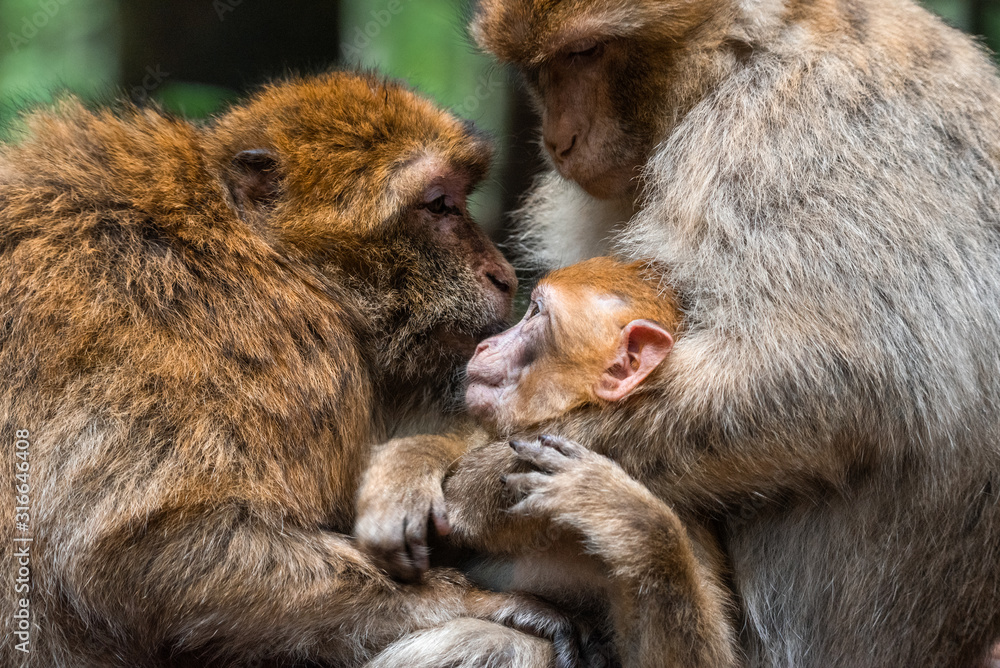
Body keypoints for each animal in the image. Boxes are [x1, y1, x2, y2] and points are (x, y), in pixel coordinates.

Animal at [0, 72, 584, 668]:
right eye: (440, 204)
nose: (504, 275)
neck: (254, 250)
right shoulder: (275, 346)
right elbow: (138, 552)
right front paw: (484, 603)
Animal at [450, 0, 1000, 666]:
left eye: (585, 54)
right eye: (541, 70)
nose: (558, 141)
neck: (750, 52)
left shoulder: (773, 130)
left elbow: (836, 380)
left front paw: (481, 485)